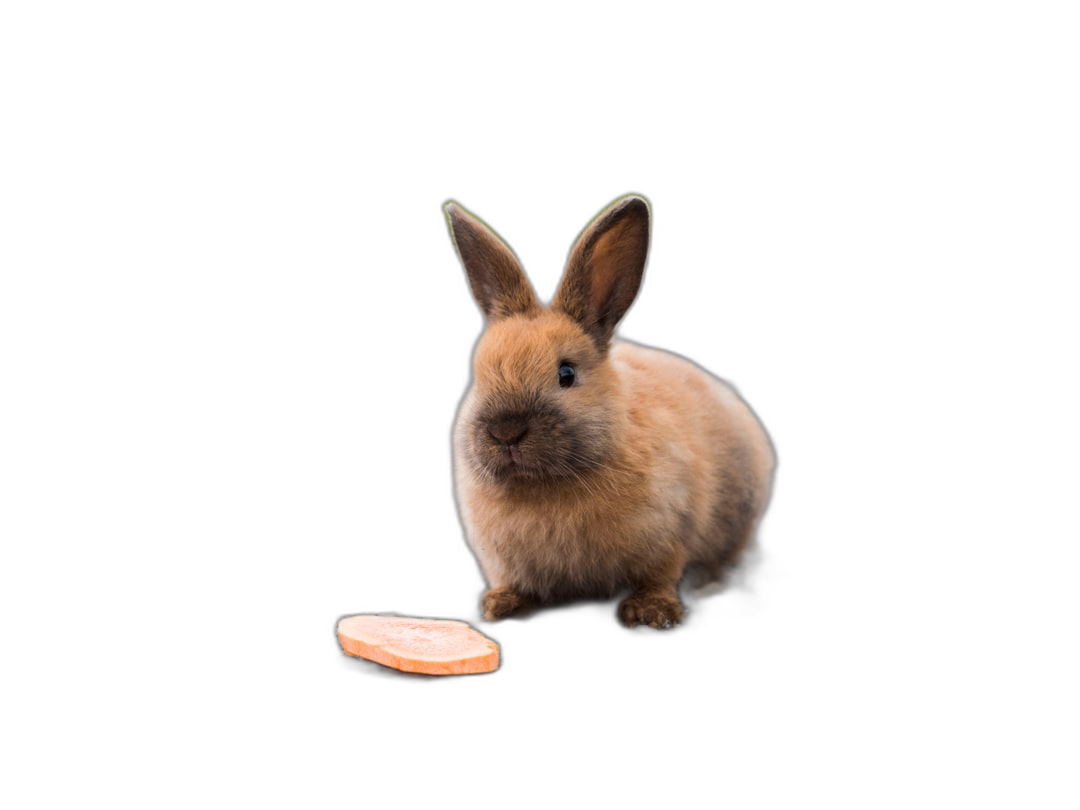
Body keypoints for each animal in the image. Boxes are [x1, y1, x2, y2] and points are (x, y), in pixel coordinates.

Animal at [442, 196, 773, 635]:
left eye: (566, 374)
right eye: (478, 376)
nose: (506, 432)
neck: (547, 485)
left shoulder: (669, 539)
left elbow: (660, 577)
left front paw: (652, 614)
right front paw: (502, 604)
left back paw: (704, 585)